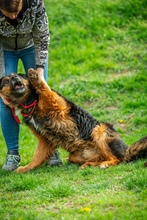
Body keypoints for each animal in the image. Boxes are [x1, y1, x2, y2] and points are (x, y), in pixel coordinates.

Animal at [0, 68, 146, 173]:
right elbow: (37, 158)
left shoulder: (57, 106)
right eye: (6, 81)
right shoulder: (44, 140)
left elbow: (45, 89)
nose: (15, 78)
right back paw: (89, 165)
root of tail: (126, 151)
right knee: (105, 158)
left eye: (18, 76)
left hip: (99, 130)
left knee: (116, 159)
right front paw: (26, 168)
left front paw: (35, 76)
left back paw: (106, 164)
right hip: (75, 156)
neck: (31, 102)